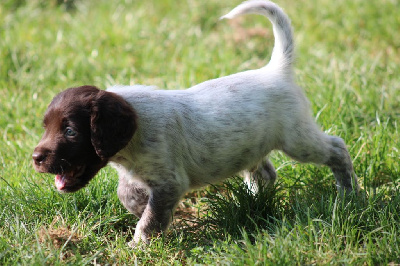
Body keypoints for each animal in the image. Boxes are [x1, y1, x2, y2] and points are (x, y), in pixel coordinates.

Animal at [32, 0, 360, 245]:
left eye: (71, 131)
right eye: (46, 127)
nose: (35, 158)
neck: (133, 139)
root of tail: (275, 70)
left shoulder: (170, 182)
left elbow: (150, 219)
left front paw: (140, 244)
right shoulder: (144, 177)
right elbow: (128, 195)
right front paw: (141, 209)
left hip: (298, 139)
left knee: (337, 148)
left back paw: (349, 194)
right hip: (253, 145)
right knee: (265, 173)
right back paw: (252, 202)